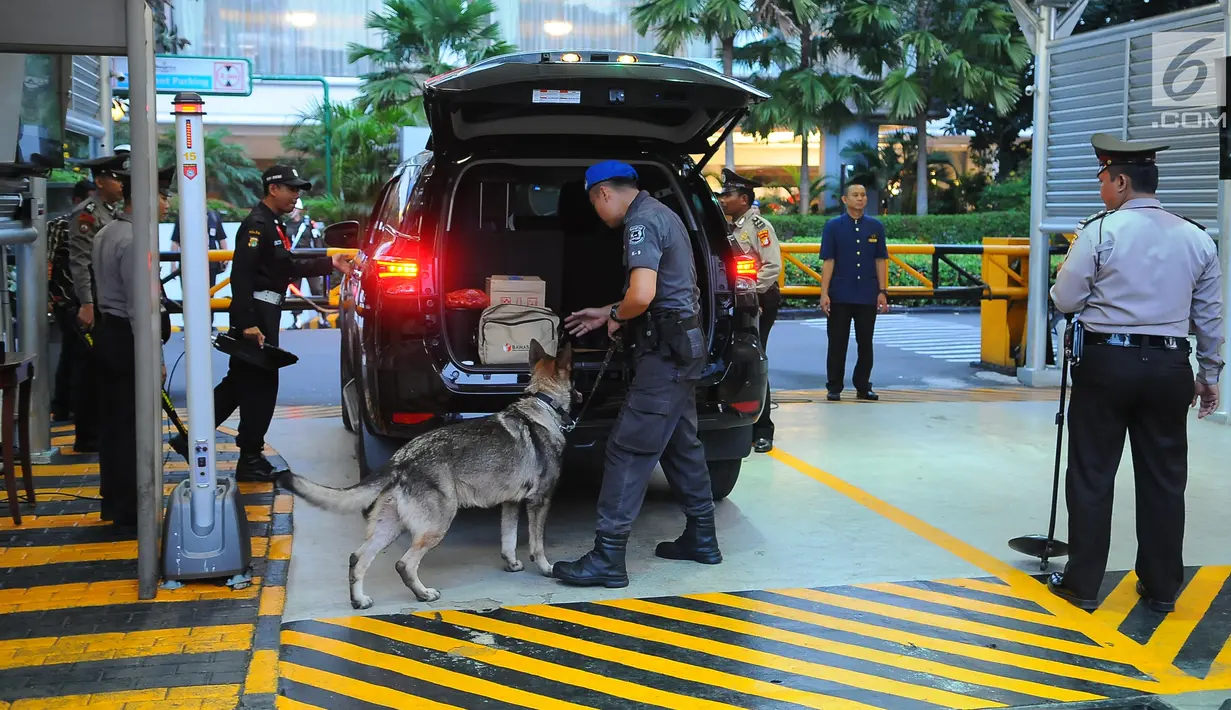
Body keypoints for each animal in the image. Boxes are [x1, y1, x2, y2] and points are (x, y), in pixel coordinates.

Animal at [281, 337, 578, 602]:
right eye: (574, 379)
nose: (581, 394)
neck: (542, 403)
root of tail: (401, 459)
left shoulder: (511, 504)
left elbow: (509, 538)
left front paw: (512, 563)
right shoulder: (539, 501)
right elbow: (537, 544)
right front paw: (546, 568)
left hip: (391, 526)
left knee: (358, 557)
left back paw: (360, 600)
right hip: (437, 524)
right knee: (404, 563)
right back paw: (423, 594)